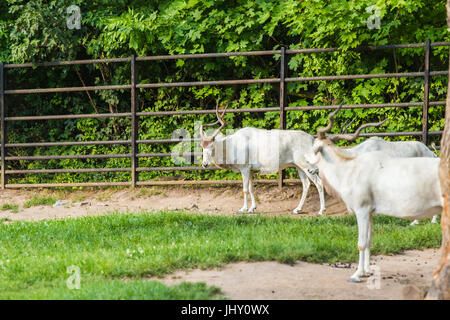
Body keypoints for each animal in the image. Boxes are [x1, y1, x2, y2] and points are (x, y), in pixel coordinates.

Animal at [302, 107, 442, 282]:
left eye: (314, 146)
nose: (308, 167)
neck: (350, 168)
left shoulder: (361, 210)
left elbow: (361, 243)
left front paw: (356, 275)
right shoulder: (369, 212)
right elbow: (368, 241)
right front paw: (367, 271)